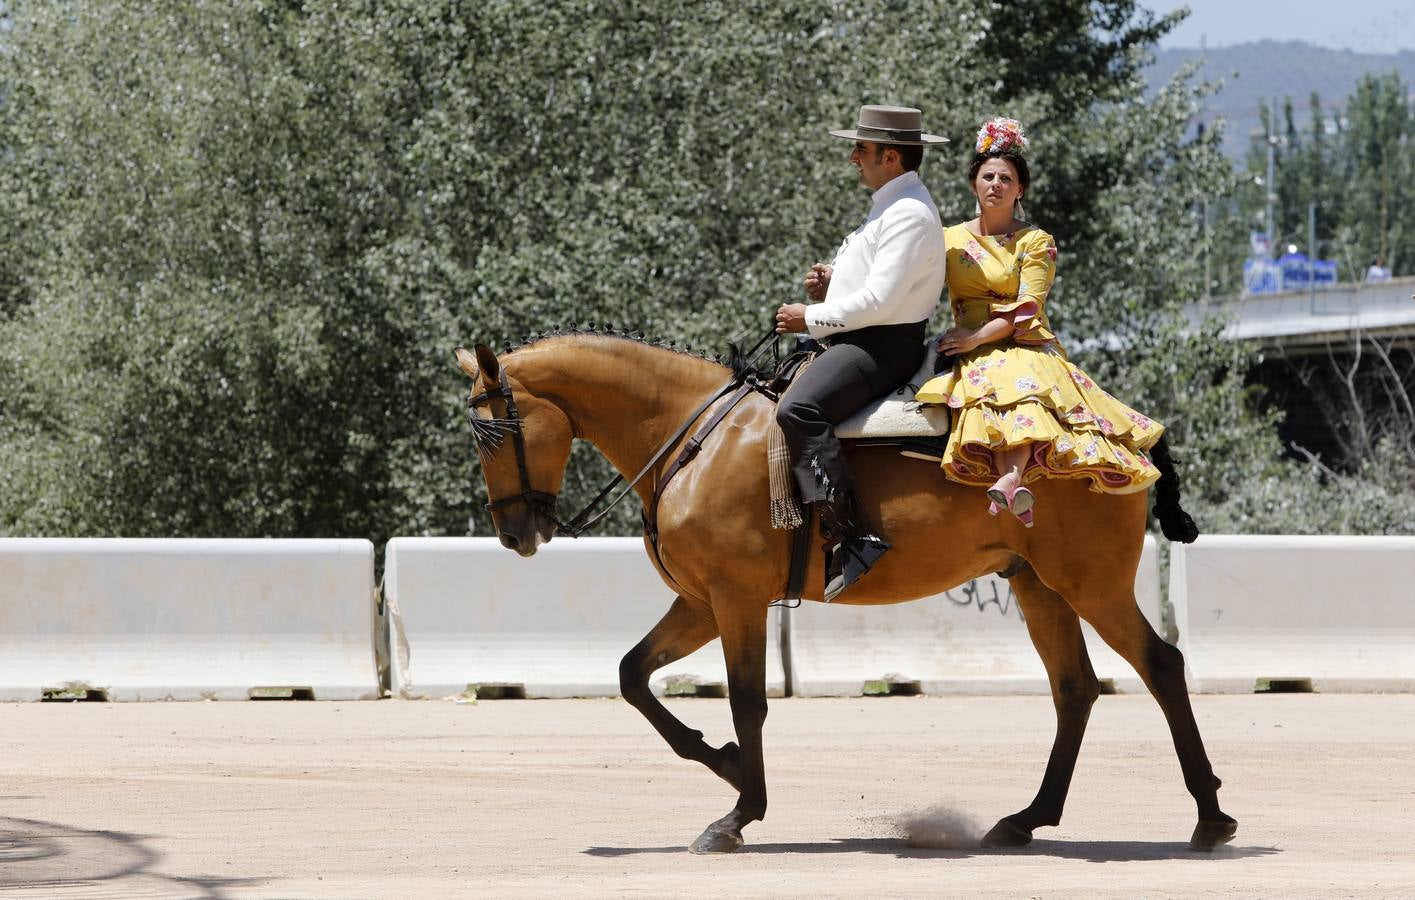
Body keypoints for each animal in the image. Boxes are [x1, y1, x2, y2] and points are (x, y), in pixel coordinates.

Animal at [455, 333, 1239, 854]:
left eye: (491, 434)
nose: (515, 534)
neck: (694, 438)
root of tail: (1124, 434)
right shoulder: (701, 603)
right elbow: (632, 677)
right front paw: (725, 764)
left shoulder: (735, 599)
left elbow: (746, 702)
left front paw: (738, 812)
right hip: (1040, 587)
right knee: (1074, 688)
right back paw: (1026, 818)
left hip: (1090, 584)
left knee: (1160, 666)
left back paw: (1208, 817)